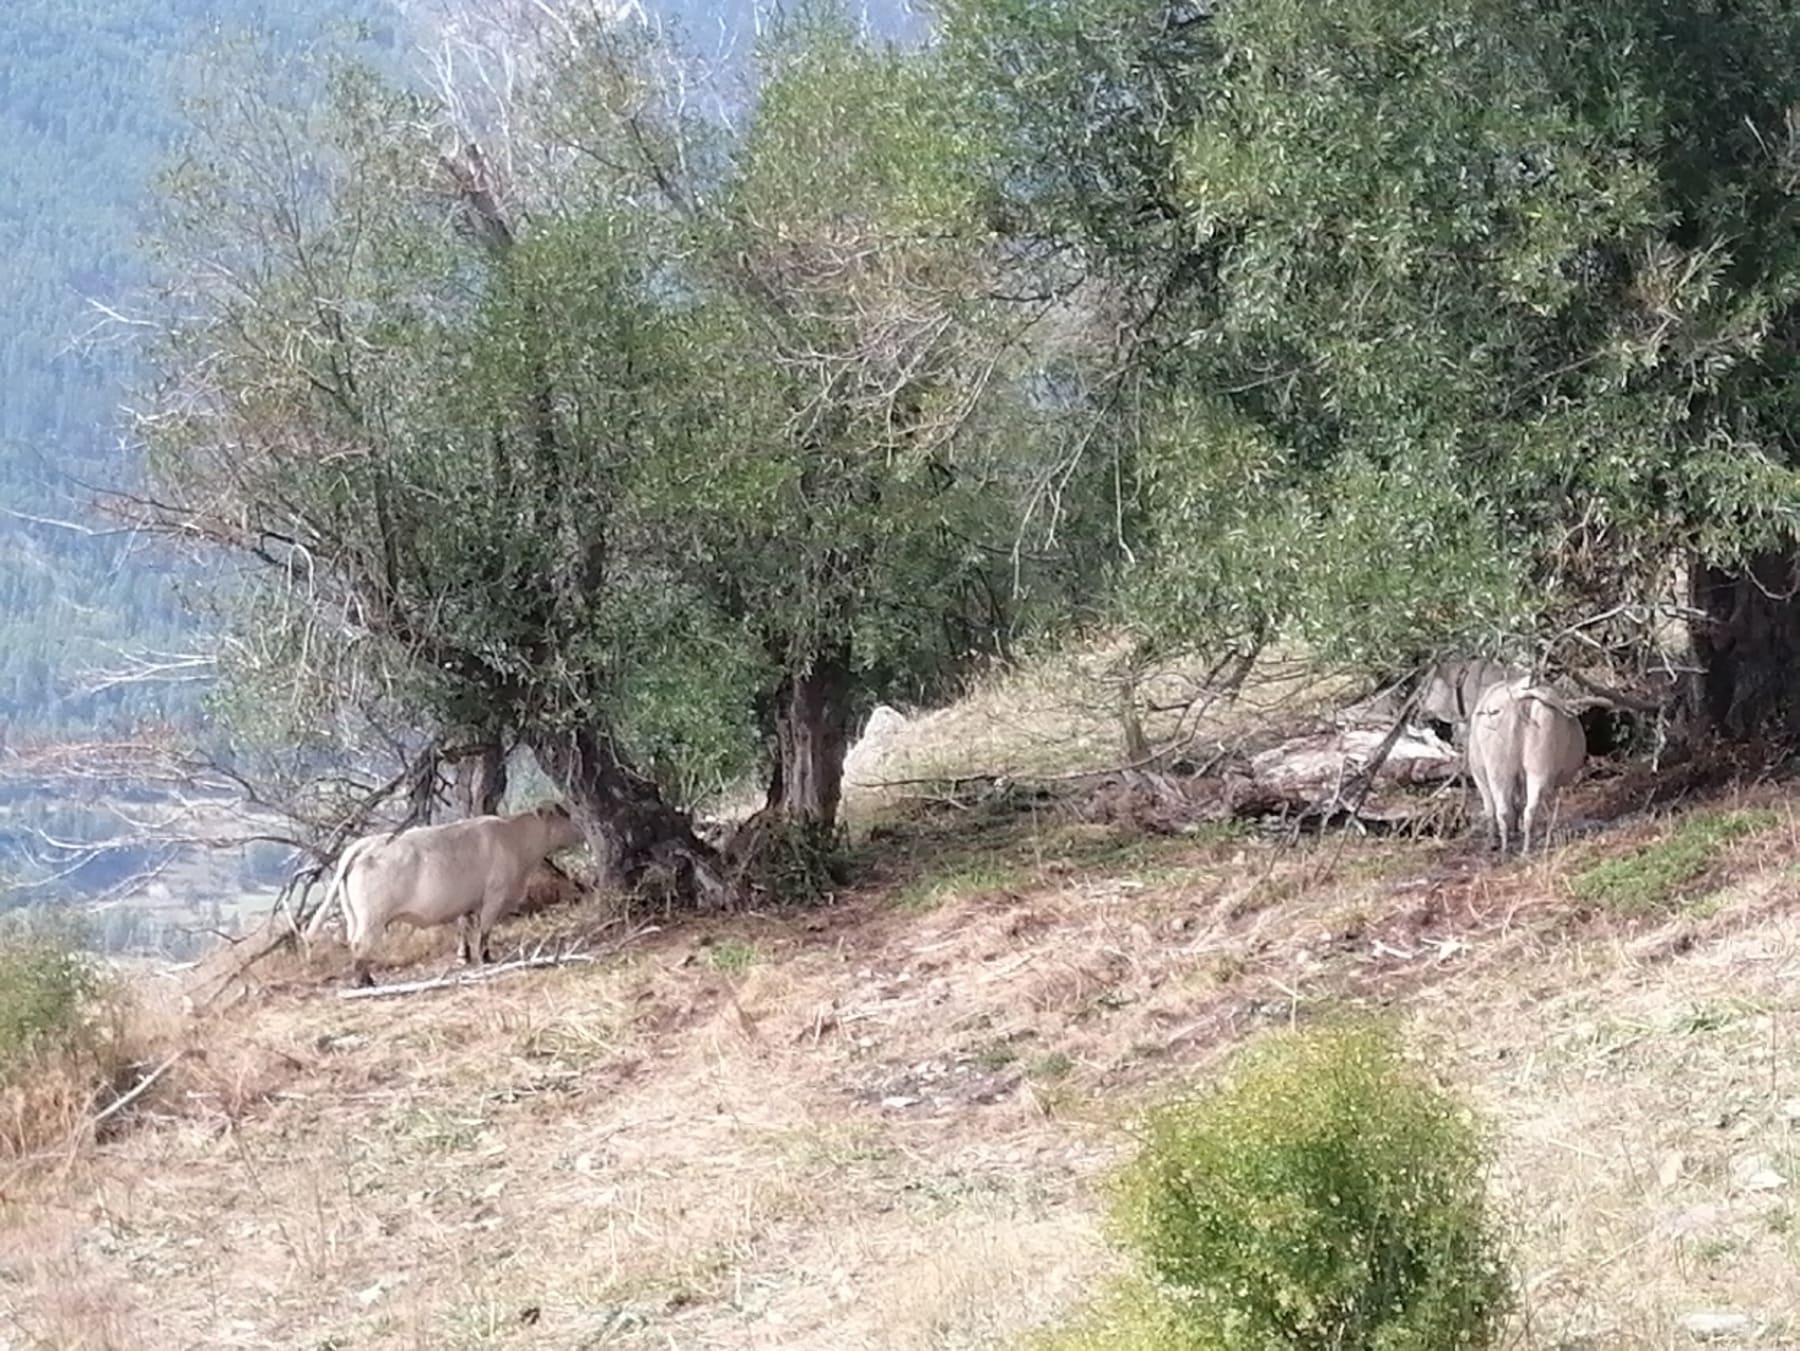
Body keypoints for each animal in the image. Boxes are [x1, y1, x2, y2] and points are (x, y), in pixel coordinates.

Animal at [304, 802, 583, 985]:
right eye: (565, 816)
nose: (579, 831)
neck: (514, 839)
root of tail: (364, 844)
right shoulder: (494, 895)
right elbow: (484, 929)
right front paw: (485, 957)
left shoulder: (466, 901)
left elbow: (464, 927)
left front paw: (464, 955)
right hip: (372, 917)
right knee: (360, 944)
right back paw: (366, 982)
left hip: (354, 915)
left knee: (352, 942)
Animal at [1461, 676, 1591, 856]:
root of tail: (1519, 696)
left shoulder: (1478, 773)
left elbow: (1489, 808)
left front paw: (1491, 842)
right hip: (1537, 765)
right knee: (1529, 808)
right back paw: (1528, 846)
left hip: (1500, 767)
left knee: (1504, 808)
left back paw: (1507, 847)